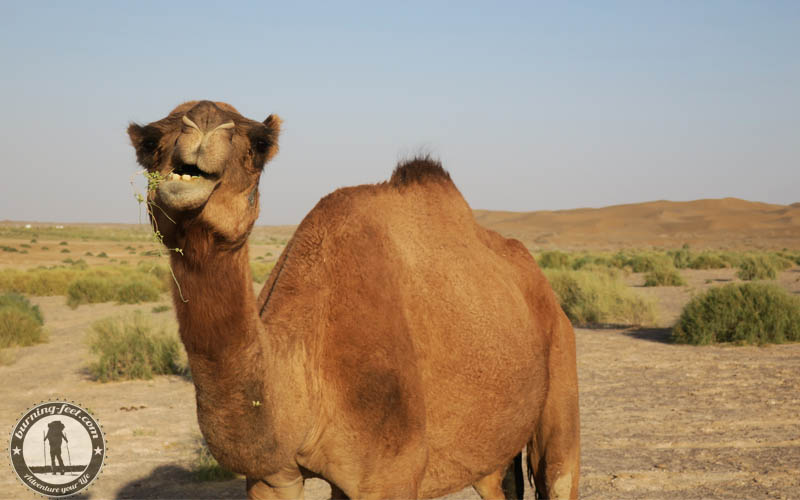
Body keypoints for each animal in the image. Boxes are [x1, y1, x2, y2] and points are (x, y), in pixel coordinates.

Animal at [128, 99, 580, 498]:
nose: (204, 121)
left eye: (258, 144)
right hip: (490, 449)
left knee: (557, 472)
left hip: (560, 364)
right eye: (149, 143)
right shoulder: (273, 478)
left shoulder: (389, 476)